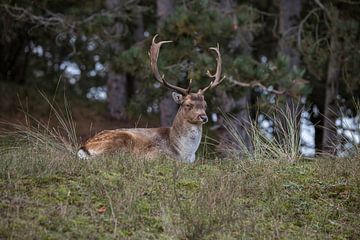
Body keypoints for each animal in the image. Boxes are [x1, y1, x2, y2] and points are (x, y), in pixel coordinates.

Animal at [77, 35, 225, 163]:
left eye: (205, 105)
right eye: (188, 104)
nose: (203, 117)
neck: (184, 152)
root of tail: (83, 148)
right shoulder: (155, 154)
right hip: (119, 142)